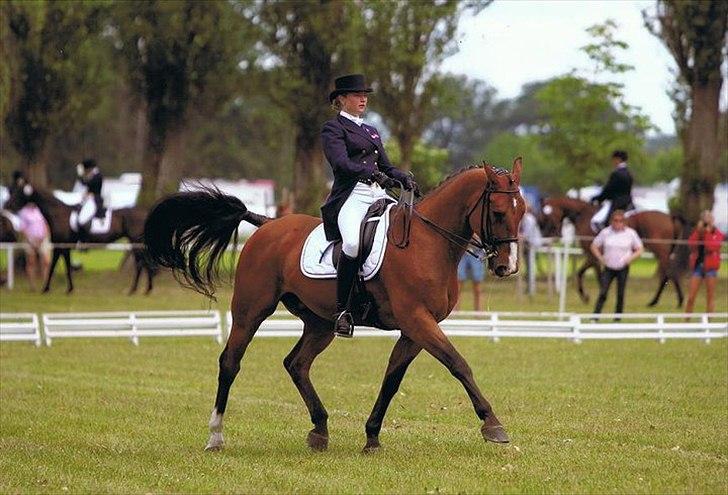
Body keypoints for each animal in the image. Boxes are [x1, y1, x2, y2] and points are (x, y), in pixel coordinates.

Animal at [4, 185, 155, 294]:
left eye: (18, 193)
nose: (6, 205)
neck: (58, 214)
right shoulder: (63, 247)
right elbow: (65, 266)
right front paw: (68, 289)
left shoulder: (61, 246)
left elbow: (56, 266)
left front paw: (47, 289)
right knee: (143, 263)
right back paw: (144, 289)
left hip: (136, 242)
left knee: (141, 263)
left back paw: (137, 290)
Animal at [142, 160, 528, 454]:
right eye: (497, 213)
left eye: (522, 211)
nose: (507, 267)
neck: (427, 242)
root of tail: (268, 225)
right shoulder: (418, 321)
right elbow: (458, 364)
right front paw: (493, 425)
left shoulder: (416, 328)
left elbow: (392, 379)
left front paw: (372, 436)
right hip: (251, 311)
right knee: (230, 362)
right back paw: (216, 436)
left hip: (320, 322)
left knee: (296, 363)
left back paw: (320, 430)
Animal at [540, 197, 684, 306]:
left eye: (546, 215)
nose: (546, 235)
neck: (583, 214)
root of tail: (670, 217)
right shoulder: (594, 255)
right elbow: (585, 273)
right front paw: (593, 296)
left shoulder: (592, 255)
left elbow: (589, 274)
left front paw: (592, 296)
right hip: (662, 253)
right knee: (670, 272)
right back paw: (673, 301)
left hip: (660, 251)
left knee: (668, 273)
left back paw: (661, 301)